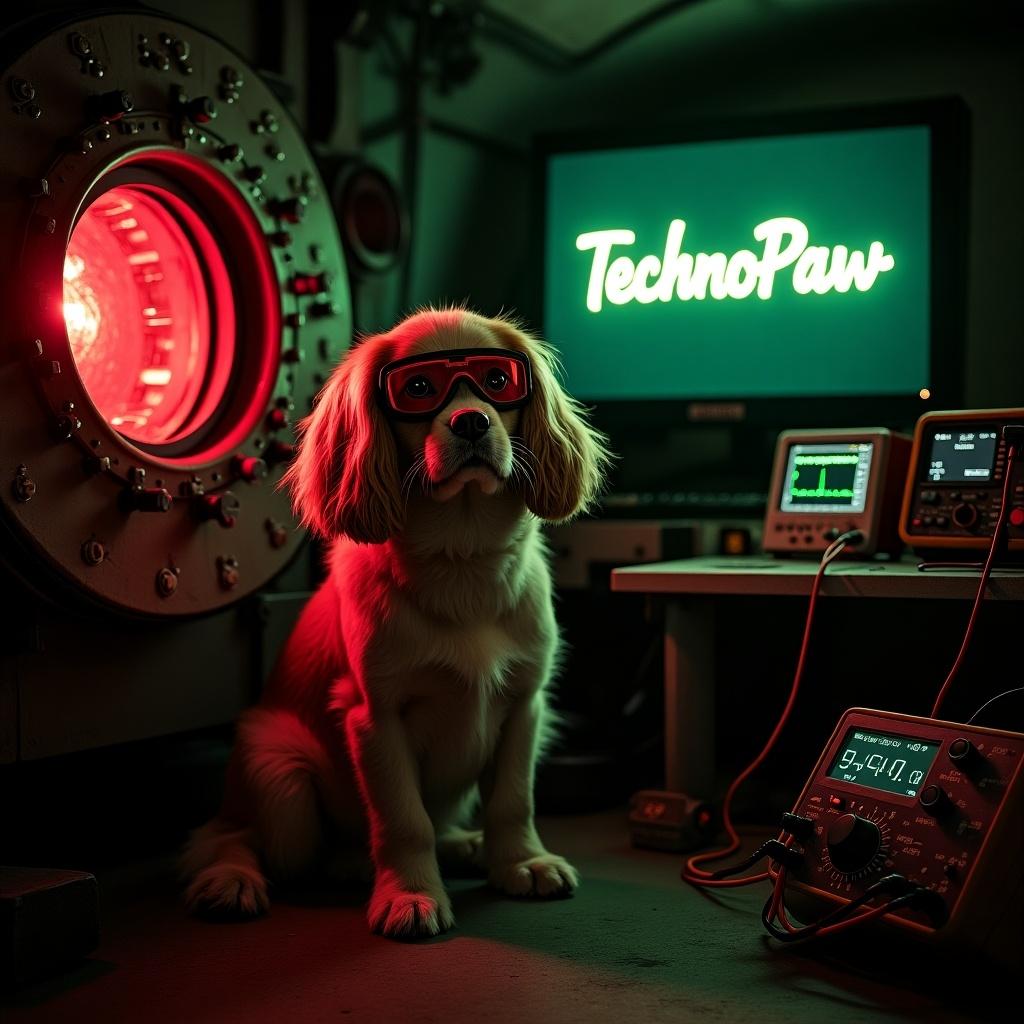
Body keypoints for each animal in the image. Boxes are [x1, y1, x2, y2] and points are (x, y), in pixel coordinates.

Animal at [180, 307, 606, 937]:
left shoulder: (525, 706)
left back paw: (455, 846)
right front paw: (410, 895)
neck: (461, 559)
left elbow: (513, 799)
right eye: (419, 388)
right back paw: (235, 879)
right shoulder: (374, 718)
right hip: (281, 780)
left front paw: (519, 863)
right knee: (232, 838)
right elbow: (404, 820)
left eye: (497, 380)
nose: (473, 422)